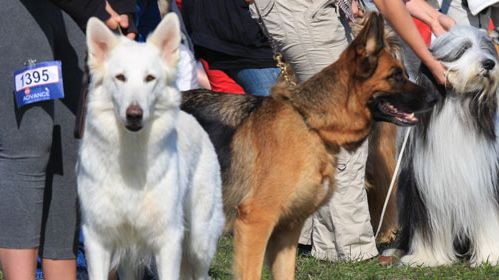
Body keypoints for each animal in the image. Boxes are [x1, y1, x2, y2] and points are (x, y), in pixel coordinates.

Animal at [77, 13, 225, 280]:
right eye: (120, 77)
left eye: (149, 78)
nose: (134, 114)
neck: (131, 156)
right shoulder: (97, 240)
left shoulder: (168, 240)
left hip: (199, 242)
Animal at [183, 12, 438, 278]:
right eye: (396, 76)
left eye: (404, 73)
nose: (435, 97)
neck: (310, 125)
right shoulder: (255, 224)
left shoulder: (287, 231)